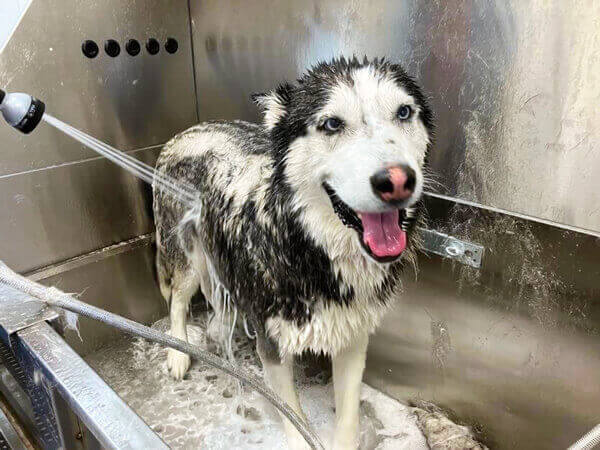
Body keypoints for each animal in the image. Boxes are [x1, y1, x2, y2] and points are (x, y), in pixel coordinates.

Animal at [152, 57, 434, 450]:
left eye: (404, 112)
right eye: (332, 124)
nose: (396, 181)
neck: (312, 250)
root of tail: (189, 129)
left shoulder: (353, 338)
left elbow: (348, 416)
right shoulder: (272, 346)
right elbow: (294, 419)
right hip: (185, 255)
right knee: (178, 300)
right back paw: (178, 352)